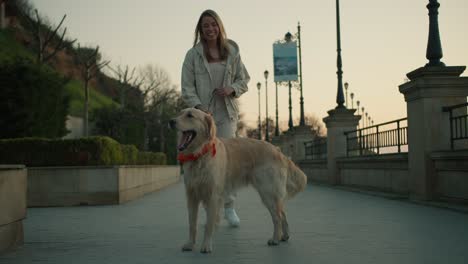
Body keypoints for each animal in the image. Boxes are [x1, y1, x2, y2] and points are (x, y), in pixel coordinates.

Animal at [168, 108, 308, 254]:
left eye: (190, 115)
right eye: (179, 113)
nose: (171, 121)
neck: (200, 154)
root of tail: (277, 150)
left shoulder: (213, 196)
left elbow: (209, 225)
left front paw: (206, 245)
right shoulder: (191, 196)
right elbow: (192, 224)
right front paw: (190, 244)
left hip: (268, 193)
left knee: (278, 217)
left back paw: (275, 239)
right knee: (282, 213)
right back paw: (284, 236)